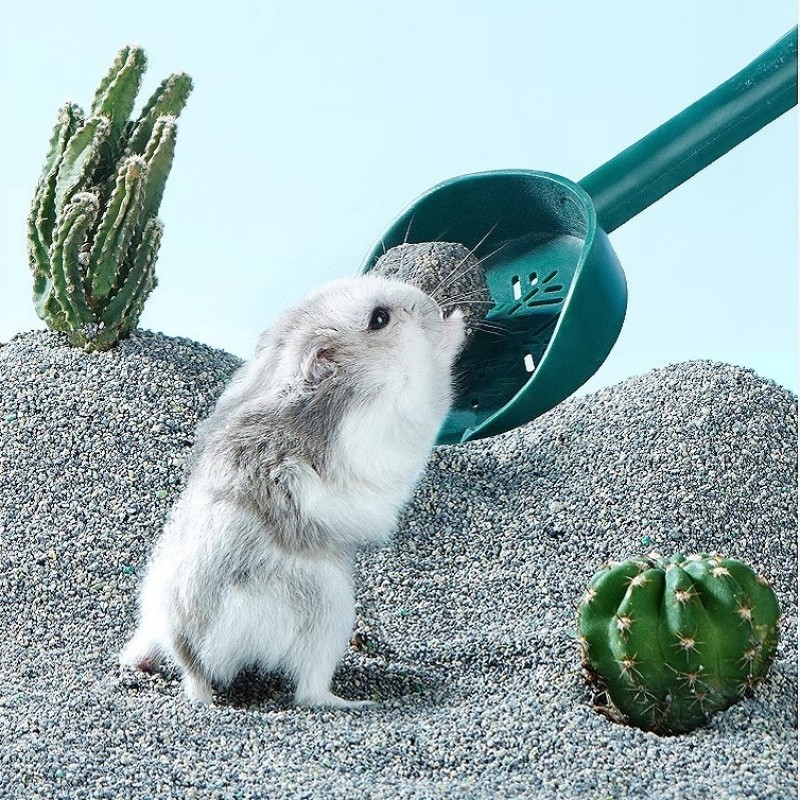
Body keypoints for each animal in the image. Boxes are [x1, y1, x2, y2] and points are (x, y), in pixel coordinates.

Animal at [120, 274, 466, 708]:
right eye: (379, 319)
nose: (434, 306)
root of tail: (189, 655)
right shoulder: (402, 413)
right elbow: (436, 379)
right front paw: (459, 322)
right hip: (331, 615)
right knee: (310, 692)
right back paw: (358, 703)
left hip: (154, 609)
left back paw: (138, 662)